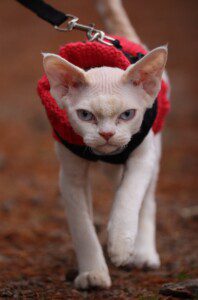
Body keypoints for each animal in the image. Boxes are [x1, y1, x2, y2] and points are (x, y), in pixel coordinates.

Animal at [38, 0, 170, 290]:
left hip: (154, 148)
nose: (107, 134)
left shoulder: (143, 156)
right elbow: (82, 226)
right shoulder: (70, 176)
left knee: (147, 200)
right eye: (85, 115)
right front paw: (93, 273)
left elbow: (129, 194)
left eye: (128, 114)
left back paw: (143, 252)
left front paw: (120, 244)